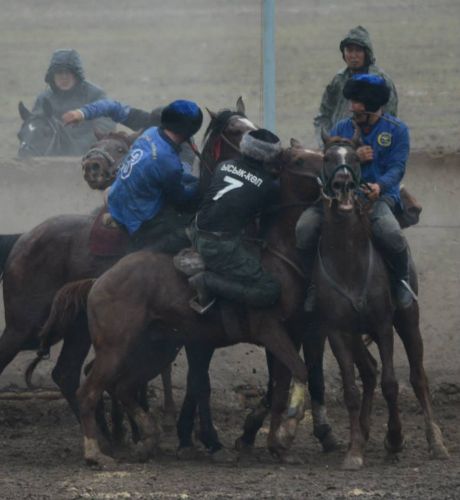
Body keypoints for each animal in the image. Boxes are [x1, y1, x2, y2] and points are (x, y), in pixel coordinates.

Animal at [314, 131, 449, 470]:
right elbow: (351, 389)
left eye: (354, 159)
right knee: (369, 370)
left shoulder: (383, 324)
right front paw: (354, 450)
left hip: (408, 321)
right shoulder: (337, 331)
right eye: (327, 157)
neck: (348, 261)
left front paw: (396, 437)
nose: (343, 184)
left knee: (417, 377)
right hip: (356, 335)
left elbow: (391, 383)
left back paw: (435, 442)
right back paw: (362, 433)